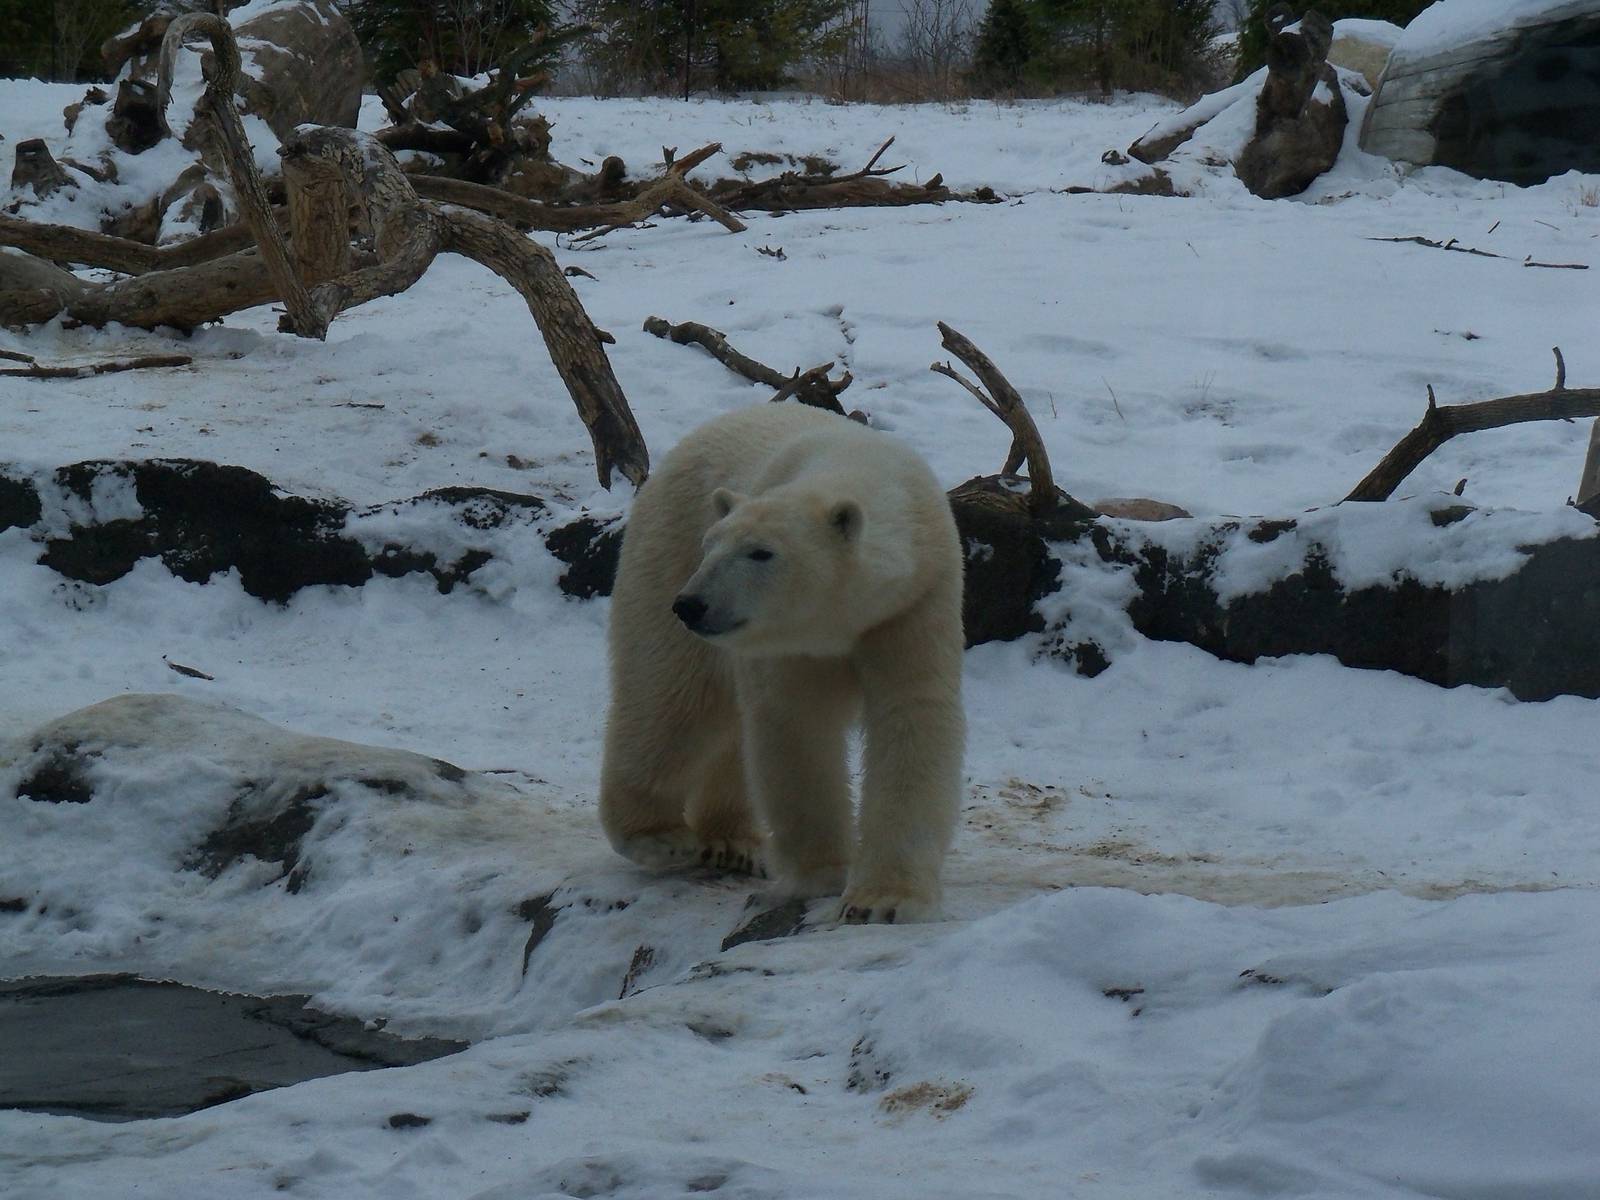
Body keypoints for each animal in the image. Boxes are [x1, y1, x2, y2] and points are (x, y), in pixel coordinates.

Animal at [599, 402, 966, 923]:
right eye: (711, 544)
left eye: (761, 552)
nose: (692, 605)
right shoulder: (786, 640)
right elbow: (796, 725)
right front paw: (822, 875)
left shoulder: (914, 603)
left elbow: (912, 718)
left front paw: (884, 901)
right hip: (664, 553)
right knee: (672, 699)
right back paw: (658, 836)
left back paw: (733, 843)